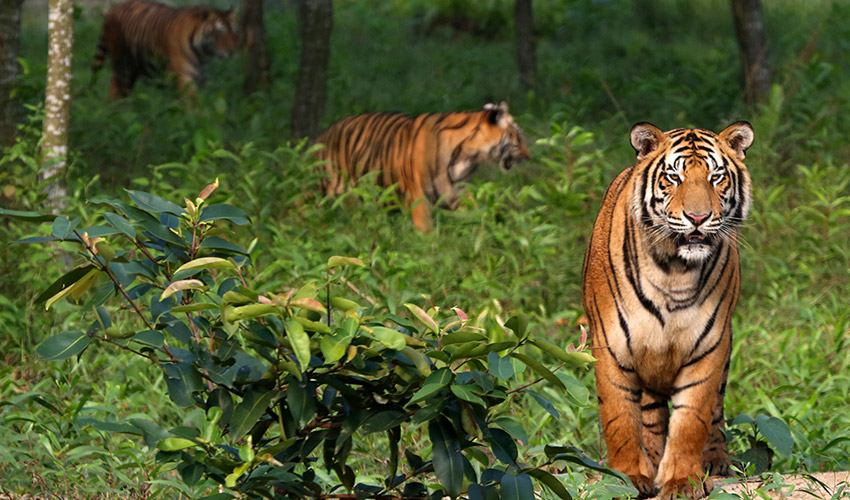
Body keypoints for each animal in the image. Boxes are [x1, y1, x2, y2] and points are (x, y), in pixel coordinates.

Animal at [91, 0, 237, 99]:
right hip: (123, 66)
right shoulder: (185, 77)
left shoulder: (201, 78)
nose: (232, 51)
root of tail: (113, 9)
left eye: (233, 32)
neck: (203, 54)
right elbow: (192, 103)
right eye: (219, 32)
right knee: (116, 87)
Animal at [314, 104, 528, 233]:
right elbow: (426, 231)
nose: (528, 156)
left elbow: (477, 213)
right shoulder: (417, 196)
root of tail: (323, 135)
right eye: (518, 138)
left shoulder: (455, 192)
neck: (468, 157)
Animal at [580, 122, 752, 500]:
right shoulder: (612, 346)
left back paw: (715, 460)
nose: (698, 218)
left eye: (716, 177)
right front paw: (627, 477)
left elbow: (692, 420)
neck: (674, 270)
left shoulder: (709, 347)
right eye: (674, 177)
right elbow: (620, 419)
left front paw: (683, 481)